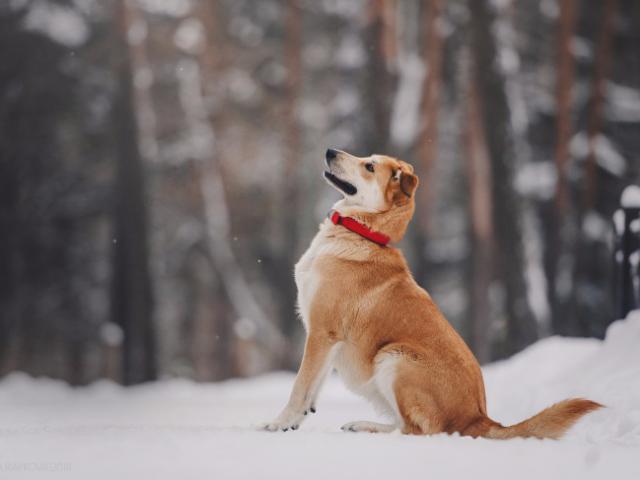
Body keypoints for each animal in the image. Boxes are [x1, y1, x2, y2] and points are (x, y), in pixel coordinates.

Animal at [264, 148, 600, 436]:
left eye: (369, 166)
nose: (330, 151)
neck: (364, 233)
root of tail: (478, 417)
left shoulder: (322, 332)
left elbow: (300, 385)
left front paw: (277, 423)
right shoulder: (325, 338)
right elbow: (313, 386)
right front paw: (295, 421)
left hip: (394, 357)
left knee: (416, 429)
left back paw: (366, 426)